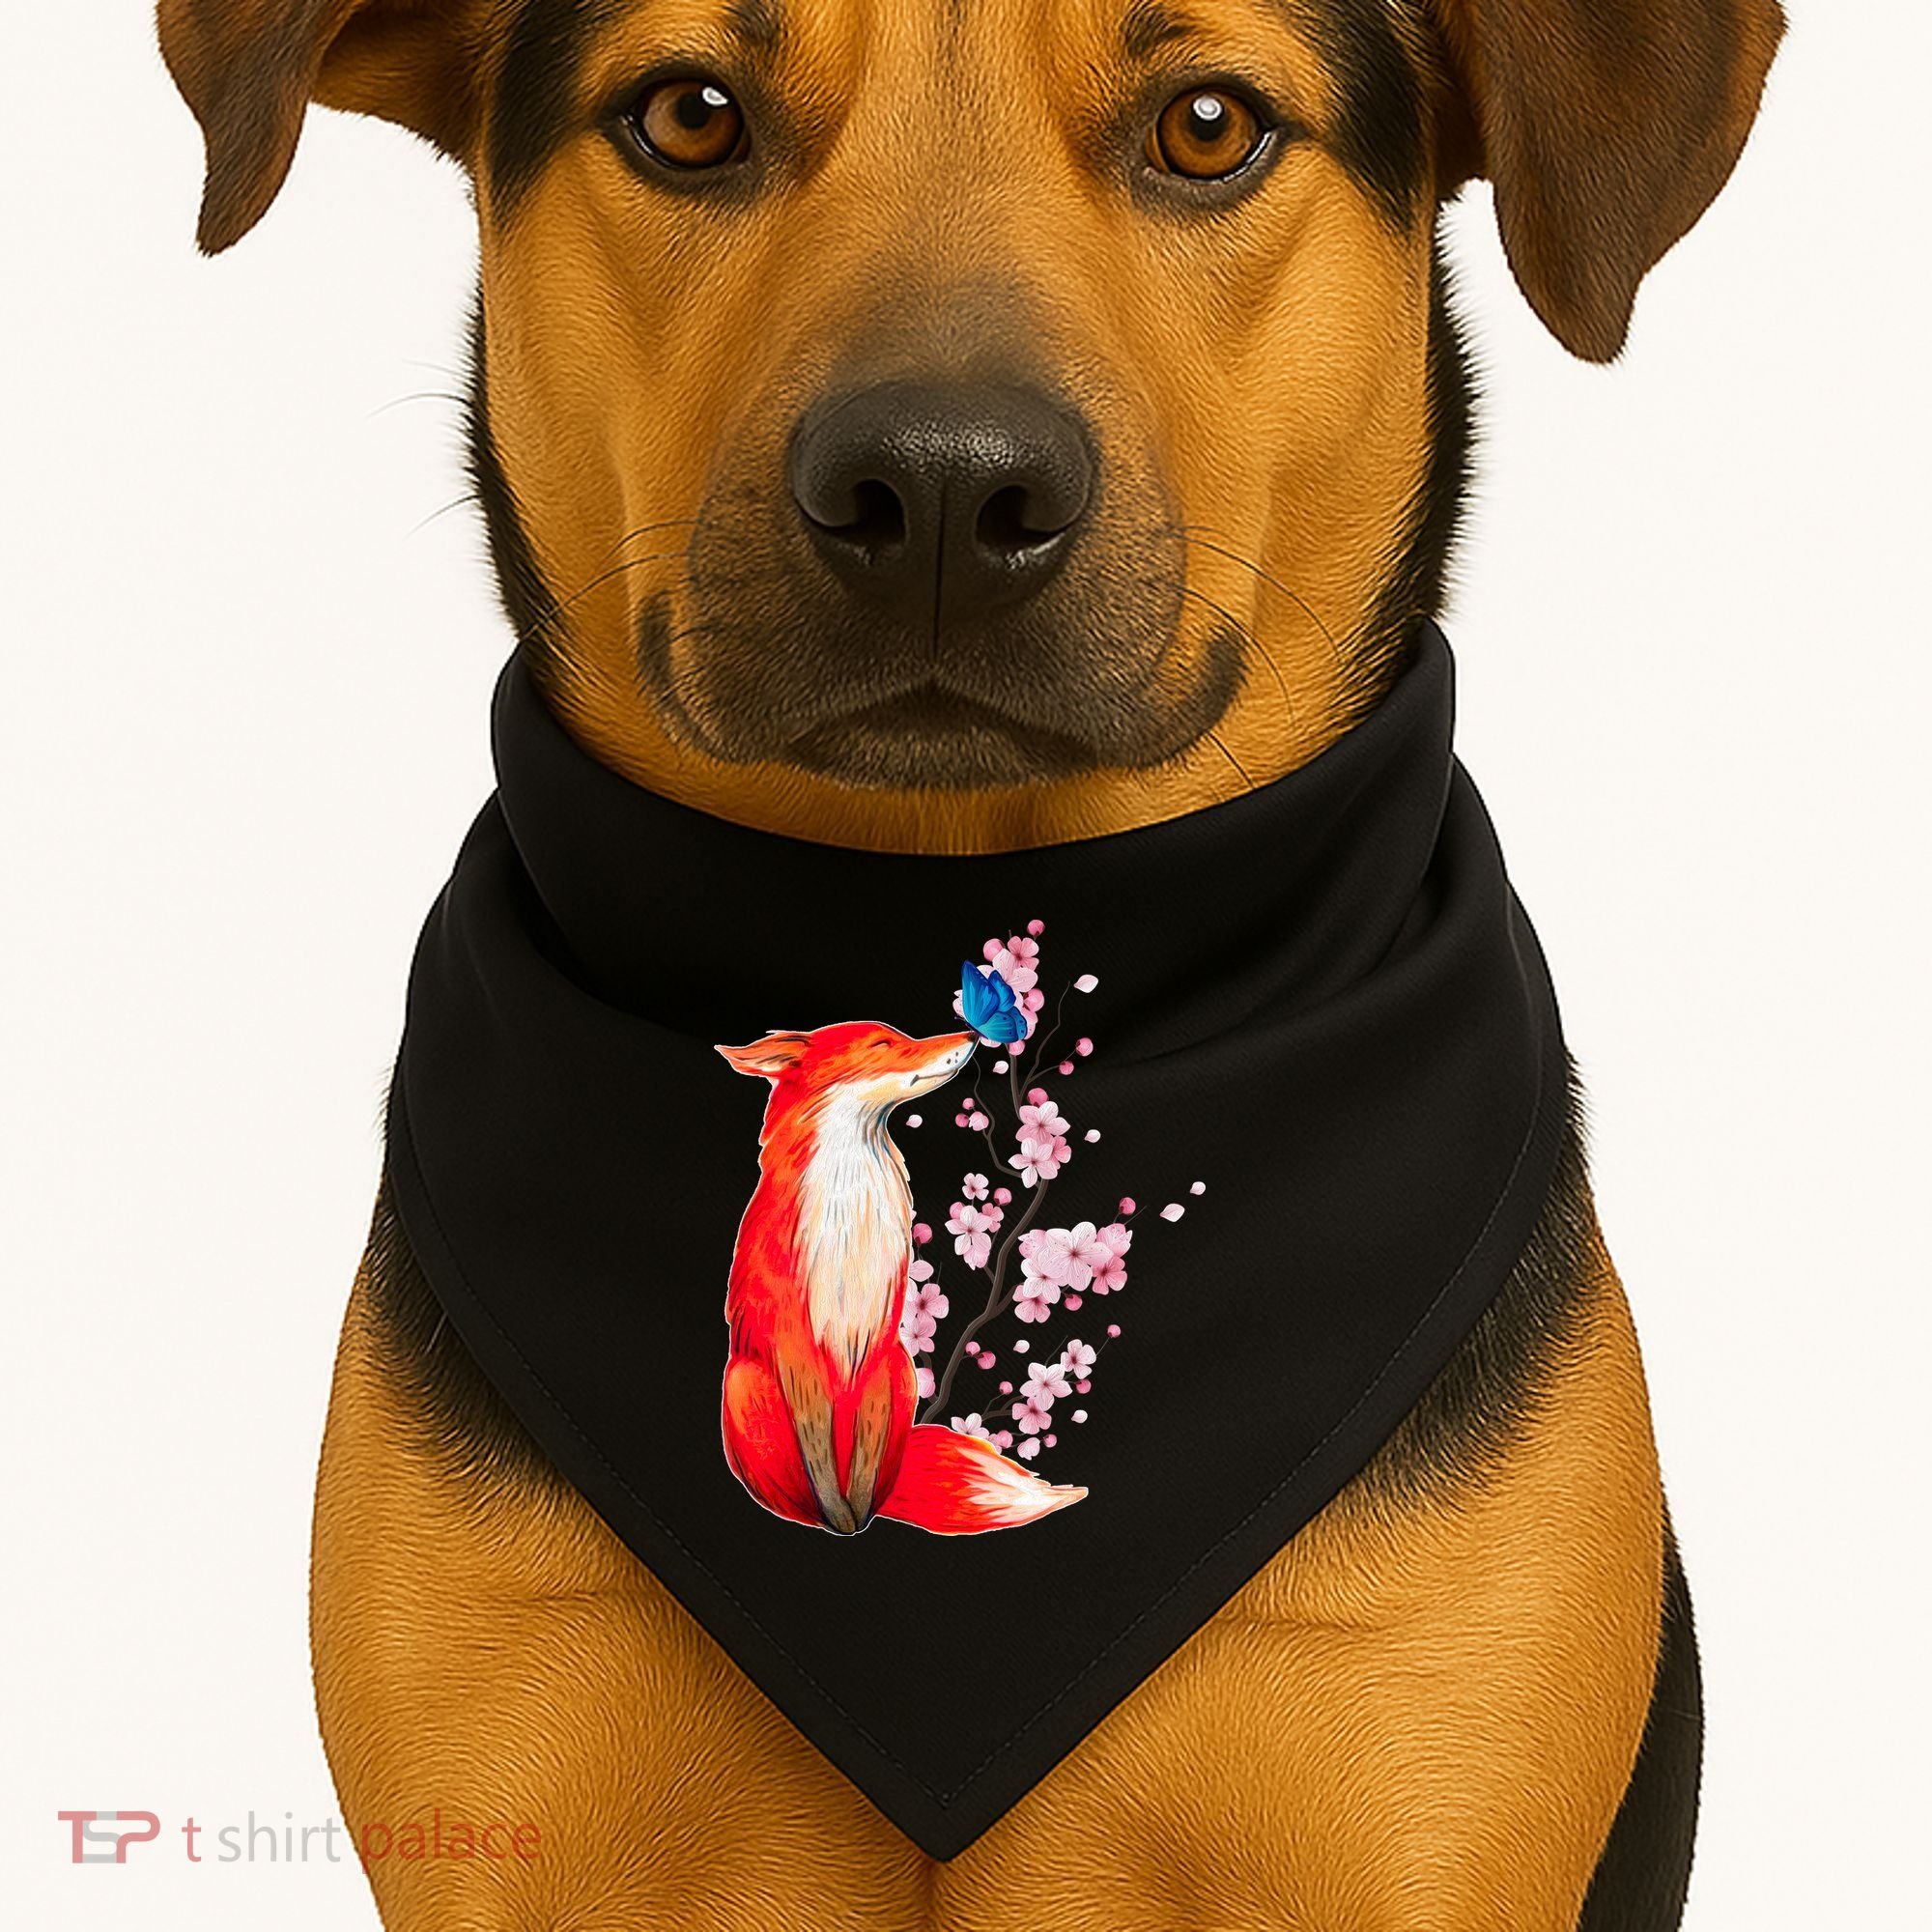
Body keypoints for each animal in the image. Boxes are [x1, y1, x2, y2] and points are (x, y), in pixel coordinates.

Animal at [716, 1021, 1088, 1536]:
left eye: (899, 1036)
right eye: (883, 1044)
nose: (973, 1035)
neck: (851, 1215)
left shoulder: (877, 1345)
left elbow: (864, 1458)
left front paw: (857, 1510)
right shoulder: (796, 1352)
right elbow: (820, 1463)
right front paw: (842, 1519)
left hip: (903, 1370)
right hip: (745, 1384)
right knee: (795, 1498)